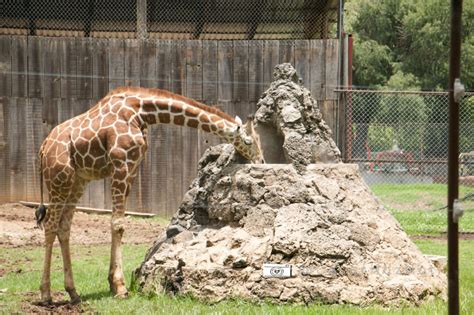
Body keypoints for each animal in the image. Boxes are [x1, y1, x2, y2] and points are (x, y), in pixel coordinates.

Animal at [36, 87, 266, 304]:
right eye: (248, 141)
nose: (261, 161)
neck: (142, 113)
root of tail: (43, 148)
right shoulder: (121, 165)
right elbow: (117, 224)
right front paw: (120, 286)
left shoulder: (132, 169)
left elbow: (119, 224)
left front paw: (112, 283)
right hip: (59, 179)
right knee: (50, 224)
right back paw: (46, 294)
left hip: (77, 181)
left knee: (64, 227)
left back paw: (73, 292)